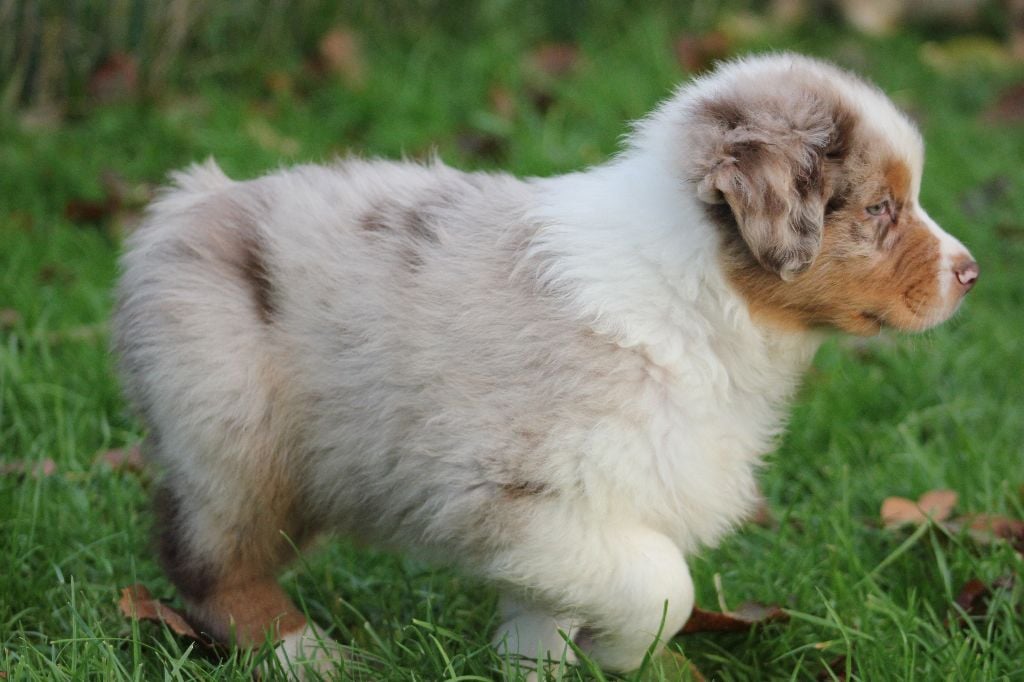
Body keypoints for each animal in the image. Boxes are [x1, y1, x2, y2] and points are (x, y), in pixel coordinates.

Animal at [113, 53, 978, 675]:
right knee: (209, 564)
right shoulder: (519, 492)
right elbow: (665, 584)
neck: (692, 292)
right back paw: (311, 656)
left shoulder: (575, 517)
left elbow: (545, 624)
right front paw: (624, 652)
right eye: (880, 208)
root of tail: (185, 206)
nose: (971, 273)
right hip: (236, 430)